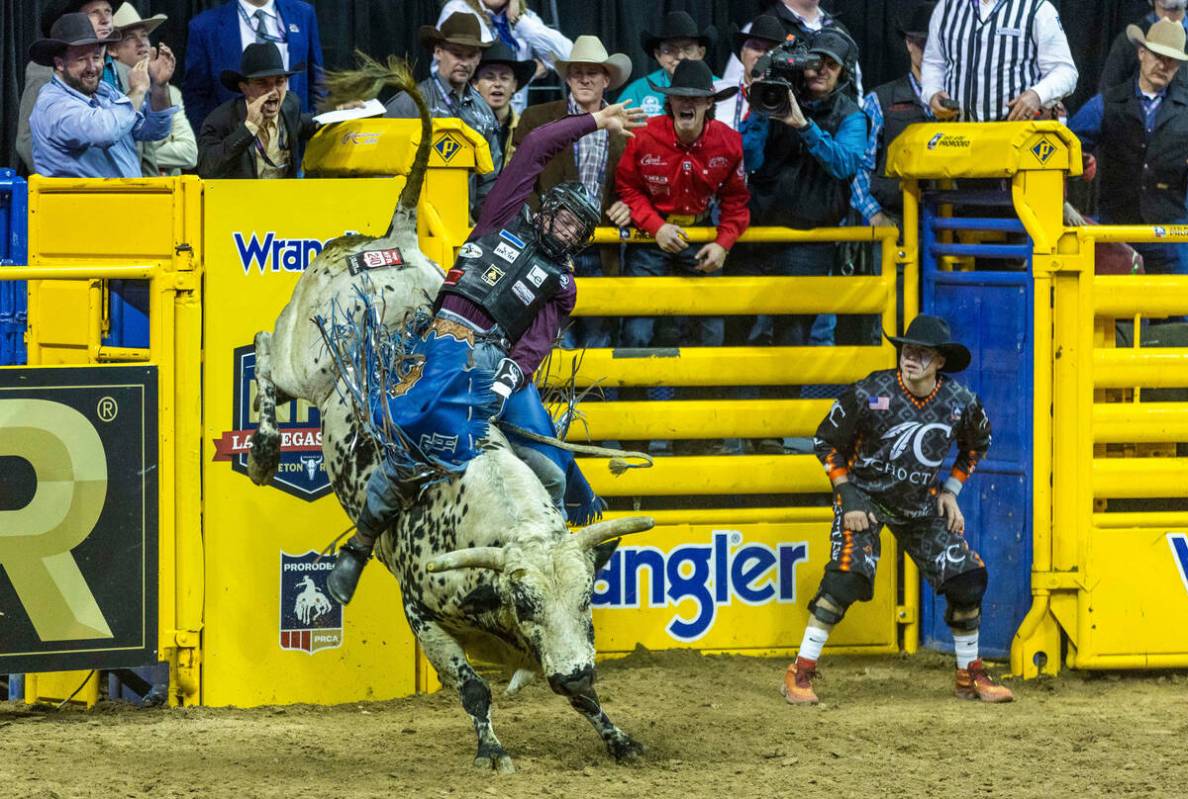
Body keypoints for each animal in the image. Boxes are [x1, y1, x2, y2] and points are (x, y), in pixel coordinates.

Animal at [247, 57, 655, 774]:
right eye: (524, 598)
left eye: (586, 595)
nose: (575, 669)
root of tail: (395, 238)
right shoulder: (421, 610)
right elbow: (470, 685)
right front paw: (492, 748)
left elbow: (573, 692)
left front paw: (615, 734)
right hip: (307, 362)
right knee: (267, 353)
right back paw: (266, 452)